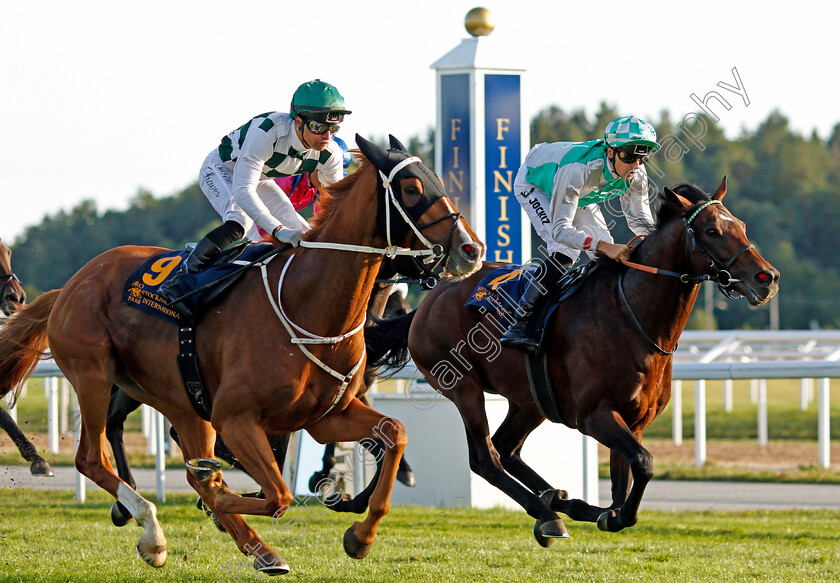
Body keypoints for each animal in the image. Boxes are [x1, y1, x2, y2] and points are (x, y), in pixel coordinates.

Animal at [0, 136, 482, 576]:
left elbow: (395, 433)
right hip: (94, 373)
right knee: (90, 457)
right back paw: (152, 531)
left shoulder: (326, 417)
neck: (307, 304)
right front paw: (221, 500)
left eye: (438, 180)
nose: (471, 248)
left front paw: (360, 535)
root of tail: (72, 284)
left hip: (181, 402)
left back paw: (257, 549)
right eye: (411, 188)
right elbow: (276, 494)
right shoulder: (236, 417)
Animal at [368, 179, 780, 548]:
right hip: (463, 386)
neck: (632, 317)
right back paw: (548, 515)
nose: (768, 278)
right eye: (712, 230)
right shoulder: (595, 415)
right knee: (486, 458)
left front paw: (605, 512)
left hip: (530, 400)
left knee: (507, 448)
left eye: (741, 225)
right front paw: (605, 514)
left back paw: (557, 500)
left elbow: (625, 483)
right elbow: (643, 464)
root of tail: (429, 300)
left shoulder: (633, 420)